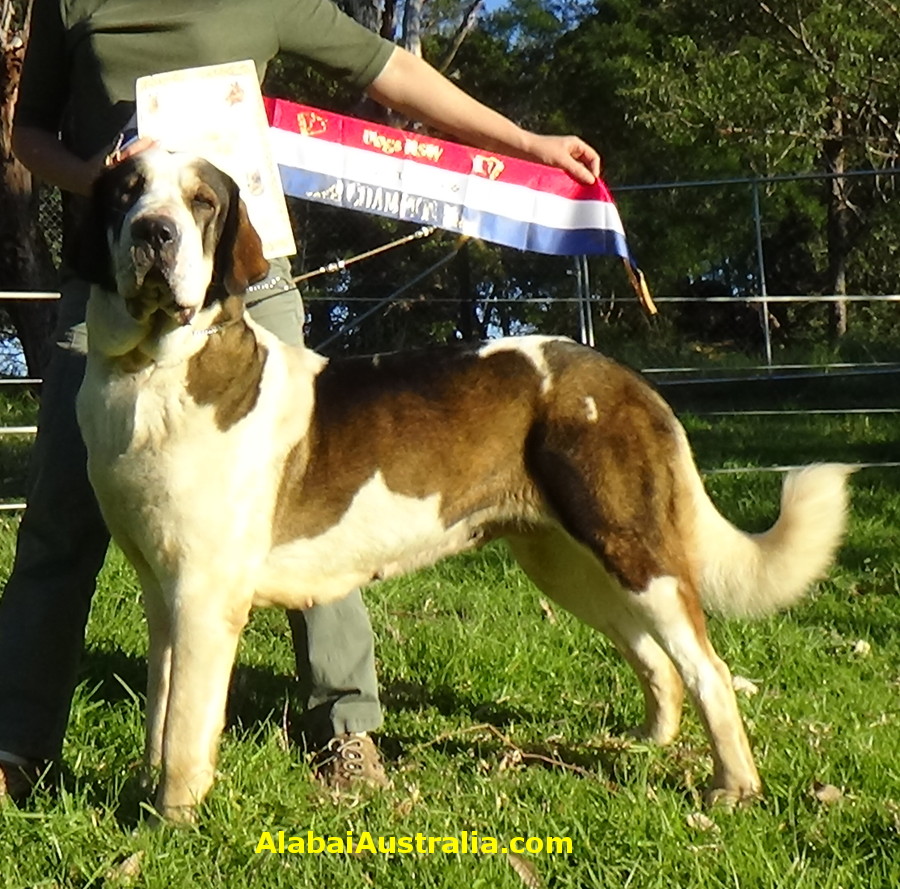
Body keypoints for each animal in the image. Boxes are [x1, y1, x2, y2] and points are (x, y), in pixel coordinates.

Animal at [72, 146, 852, 820]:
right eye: (127, 192)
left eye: (201, 202)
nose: (153, 232)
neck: (151, 370)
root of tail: (627, 379)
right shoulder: (163, 595)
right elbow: (161, 706)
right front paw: (146, 791)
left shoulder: (205, 596)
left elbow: (185, 727)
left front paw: (170, 819)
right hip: (569, 562)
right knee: (655, 657)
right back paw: (644, 745)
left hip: (634, 550)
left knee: (708, 668)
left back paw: (733, 788)